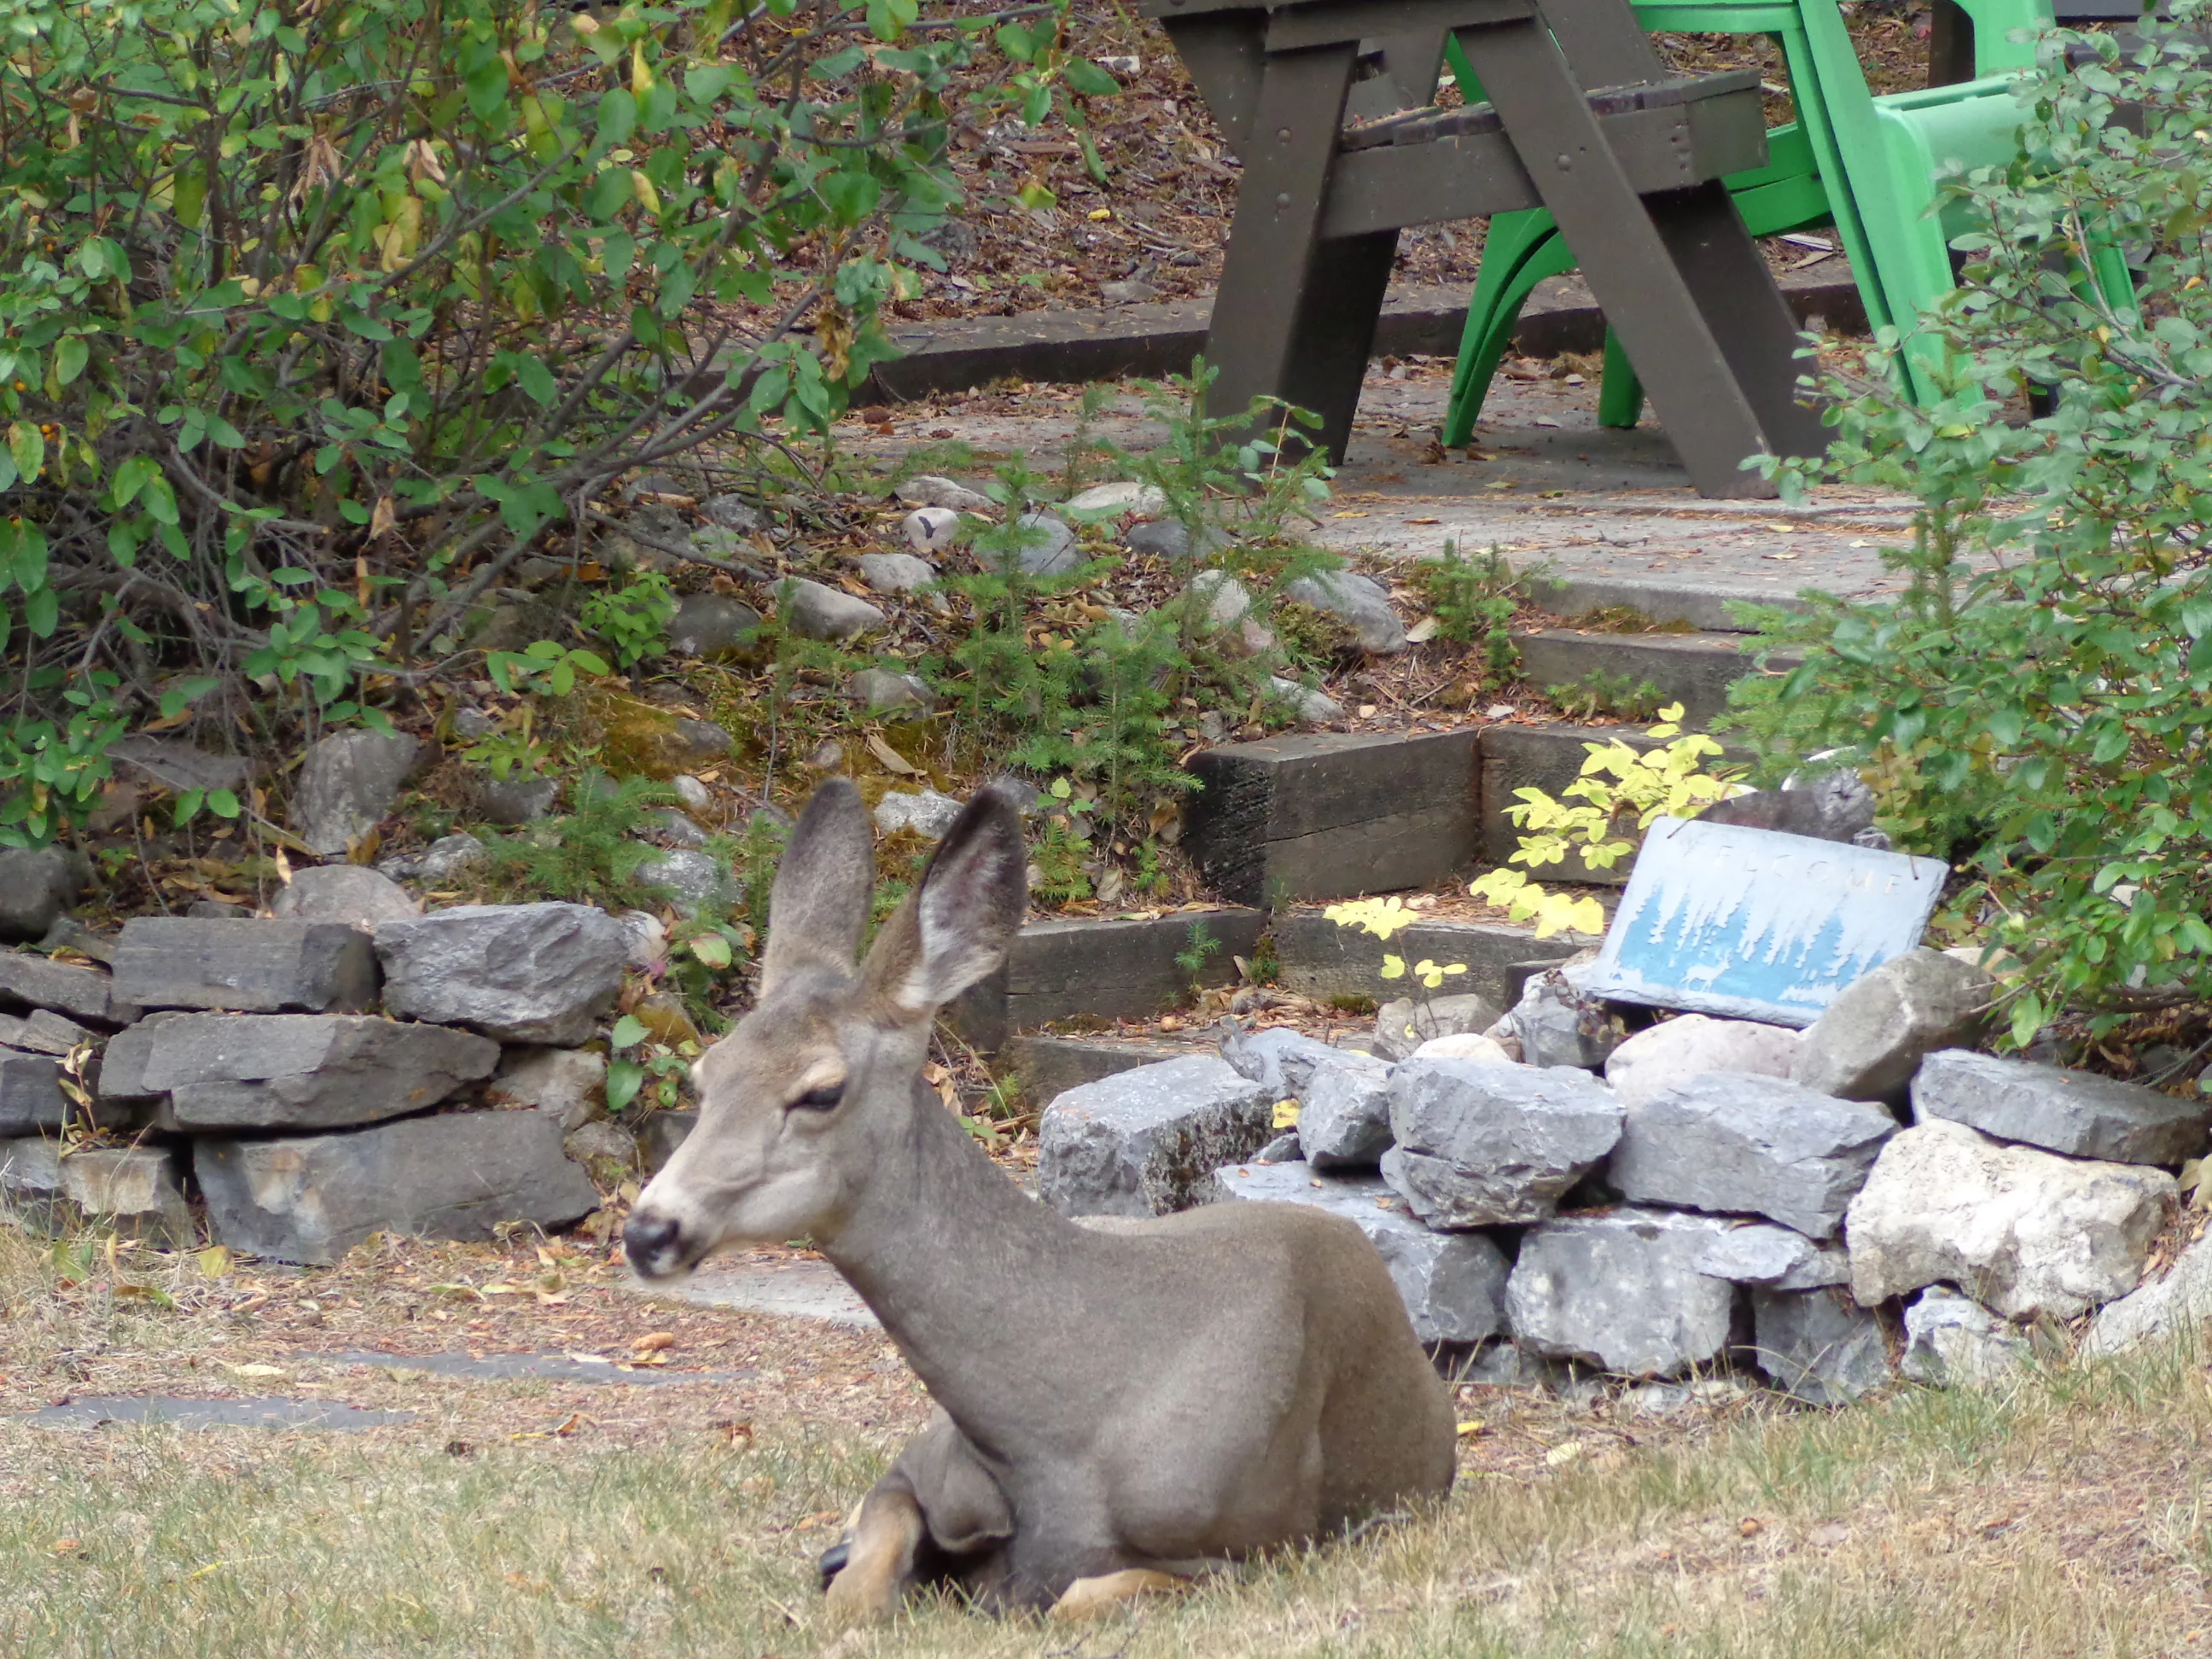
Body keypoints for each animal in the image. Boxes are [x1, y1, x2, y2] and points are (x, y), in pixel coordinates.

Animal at [624, 778, 1456, 1623]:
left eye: (821, 1091)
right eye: (706, 1075)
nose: (649, 1230)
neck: (1052, 1435)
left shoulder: (1256, 1544)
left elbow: (1073, 1597)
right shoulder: (916, 1463)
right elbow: (859, 1584)